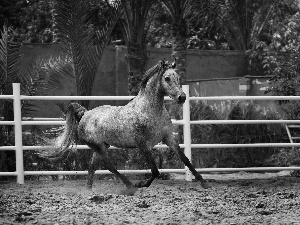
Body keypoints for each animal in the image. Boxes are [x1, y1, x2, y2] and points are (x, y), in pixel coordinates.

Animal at [44, 59, 210, 192]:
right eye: (167, 78)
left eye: (178, 77)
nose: (182, 97)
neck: (148, 110)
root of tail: (85, 114)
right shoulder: (143, 145)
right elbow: (155, 171)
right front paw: (141, 184)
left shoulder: (169, 138)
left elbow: (186, 160)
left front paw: (204, 182)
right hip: (98, 146)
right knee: (109, 166)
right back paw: (130, 186)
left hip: (102, 146)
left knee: (93, 167)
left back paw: (89, 191)